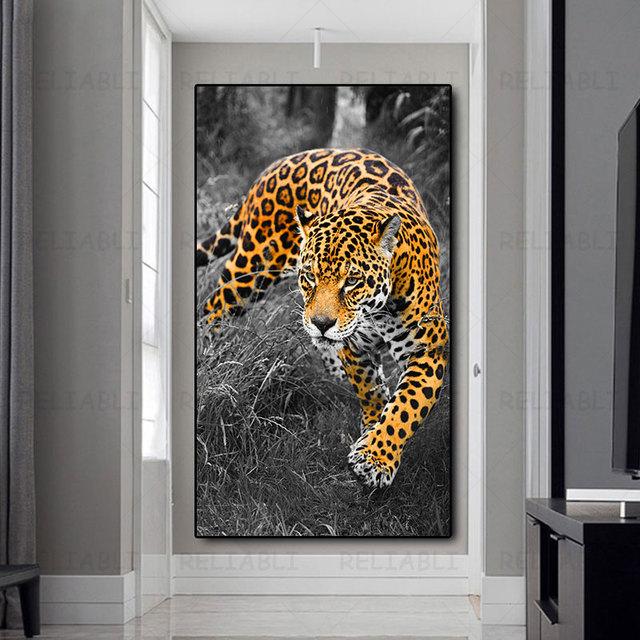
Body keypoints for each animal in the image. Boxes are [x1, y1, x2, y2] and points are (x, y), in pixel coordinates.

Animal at [196, 148, 448, 488]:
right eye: (310, 277)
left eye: (352, 280)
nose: (322, 324)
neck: (377, 311)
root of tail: (274, 166)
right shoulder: (355, 345)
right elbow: (370, 392)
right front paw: (371, 441)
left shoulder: (427, 349)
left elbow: (406, 407)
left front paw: (375, 457)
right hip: (253, 268)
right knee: (215, 304)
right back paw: (210, 352)